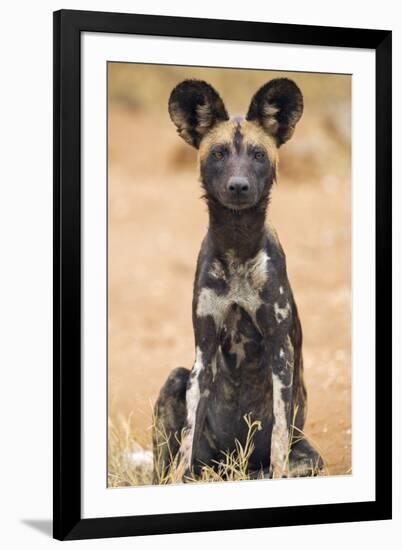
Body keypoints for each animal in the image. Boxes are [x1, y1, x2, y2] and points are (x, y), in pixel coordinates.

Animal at [152, 77, 322, 484]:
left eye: (258, 155)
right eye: (218, 154)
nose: (239, 186)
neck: (237, 247)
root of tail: (232, 466)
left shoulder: (280, 351)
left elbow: (278, 438)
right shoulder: (203, 351)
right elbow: (186, 444)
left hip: (308, 457)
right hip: (178, 380)